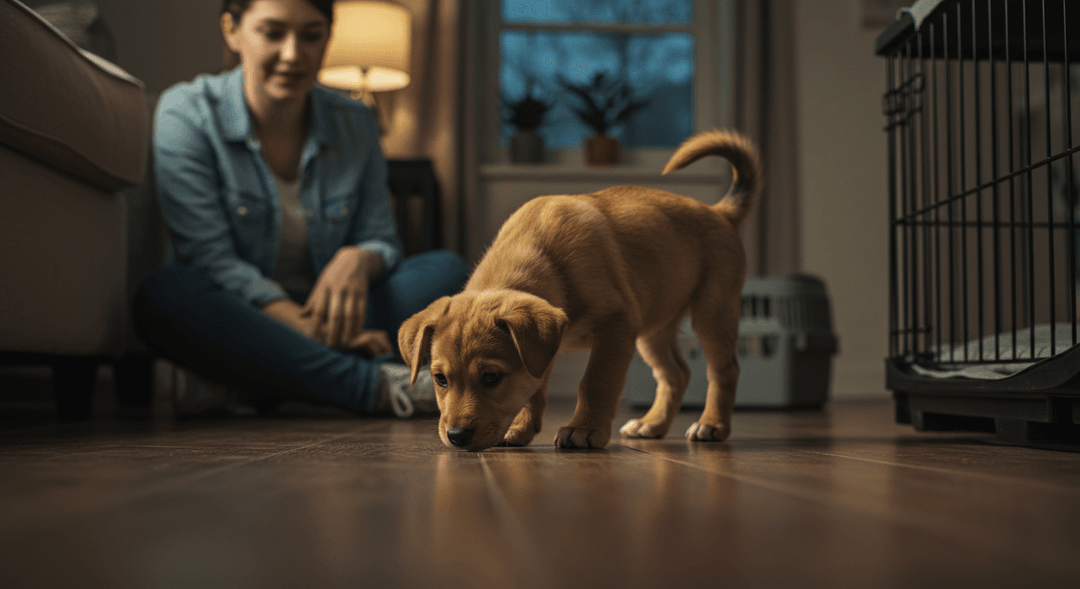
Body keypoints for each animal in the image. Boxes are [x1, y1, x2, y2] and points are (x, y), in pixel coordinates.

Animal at [397, 129, 760, 449]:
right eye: (440, 379)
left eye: (491, 377)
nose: (456, 437)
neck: (540, 255)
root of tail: (719, 213)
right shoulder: (544, 349)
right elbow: (534, 386)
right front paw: (520, 427)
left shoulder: (616, 326)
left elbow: (595, 382)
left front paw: (584, 430)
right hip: (654, 328)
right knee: (676, 374)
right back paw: (651, 424)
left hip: (712, 312)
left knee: (724, 370)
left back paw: (711, 425)